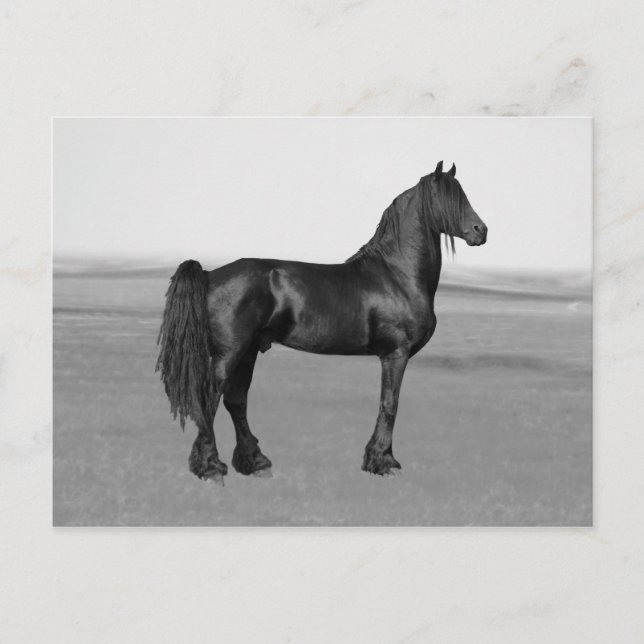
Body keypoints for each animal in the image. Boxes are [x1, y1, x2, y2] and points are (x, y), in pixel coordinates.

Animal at [156, 161, 488, 484]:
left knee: (236, 401)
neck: (396, 275)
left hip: (248, 351)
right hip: (229, 354)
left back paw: (256, 463)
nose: (480, 230)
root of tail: (210, 275)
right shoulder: (395, 354)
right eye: (447, 198)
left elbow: (387, 404)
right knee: (209, 400)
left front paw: (377, 459)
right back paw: (211, 468)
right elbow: (389, 405)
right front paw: (383, 463)